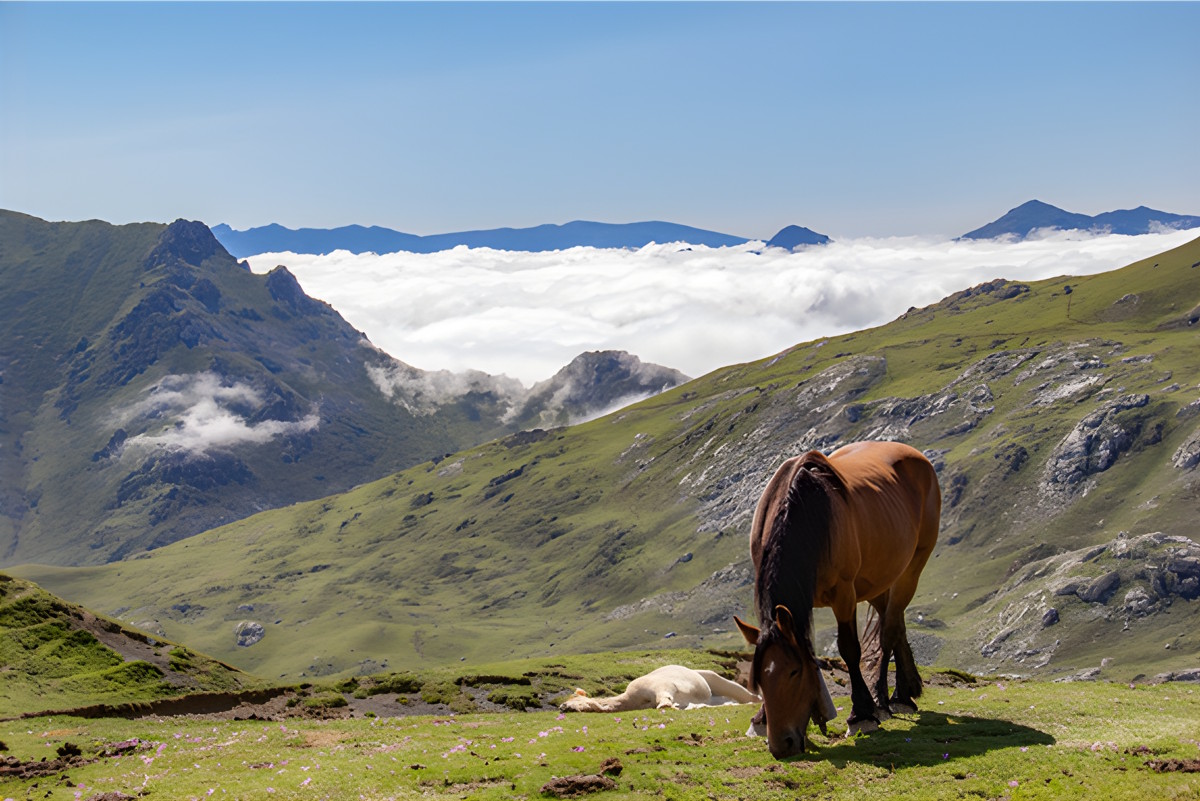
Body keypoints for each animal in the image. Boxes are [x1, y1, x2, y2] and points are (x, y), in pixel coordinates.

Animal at [734, 441, 940, 762]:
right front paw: (760, 719)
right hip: (878, 581)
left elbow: (849, 649)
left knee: (889, 631)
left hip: (911, 569)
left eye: (794, 672)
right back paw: (903, 692)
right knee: (895, 622)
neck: (807, 513)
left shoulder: (844, 595)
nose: (782, 746)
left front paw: (862, 715)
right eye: (759, 680)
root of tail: (916, 456)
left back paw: (888, 699)